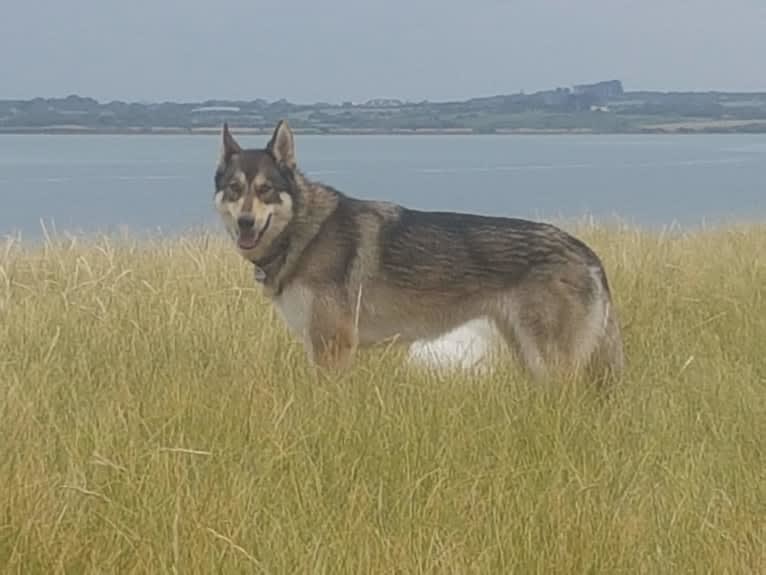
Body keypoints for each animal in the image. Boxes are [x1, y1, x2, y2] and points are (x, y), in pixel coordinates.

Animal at [212, 121, 624, 382]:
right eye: (234, 189)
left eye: (265, 190)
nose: (246, 223)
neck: (304, 232)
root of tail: (587, 253)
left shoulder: (333, 347)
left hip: (550, 363)